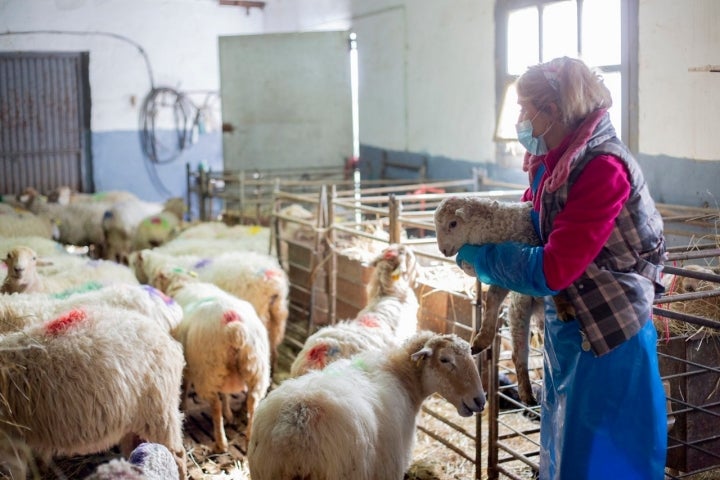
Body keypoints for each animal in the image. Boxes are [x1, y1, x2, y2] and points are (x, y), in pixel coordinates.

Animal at [148, 266, 270, 454]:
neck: (183, 284)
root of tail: (233, 325)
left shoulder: (188, 366)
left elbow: (185, 387)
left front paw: (184, 407)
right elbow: (225, 394)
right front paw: (229, 414)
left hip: (208, 371)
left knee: (215, 406)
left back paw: (221, 443)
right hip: (256, 369)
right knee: (252, 402)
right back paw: (248, 439)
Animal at [434, 195, 572, 404]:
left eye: (453, 223)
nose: (443, 250)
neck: (500, 227)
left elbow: (556, 277)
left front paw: (564, 307)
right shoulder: (505, 270)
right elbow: (492, 299)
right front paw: (483, 338)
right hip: (519, 309)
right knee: (518, 354)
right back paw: (527, 394)